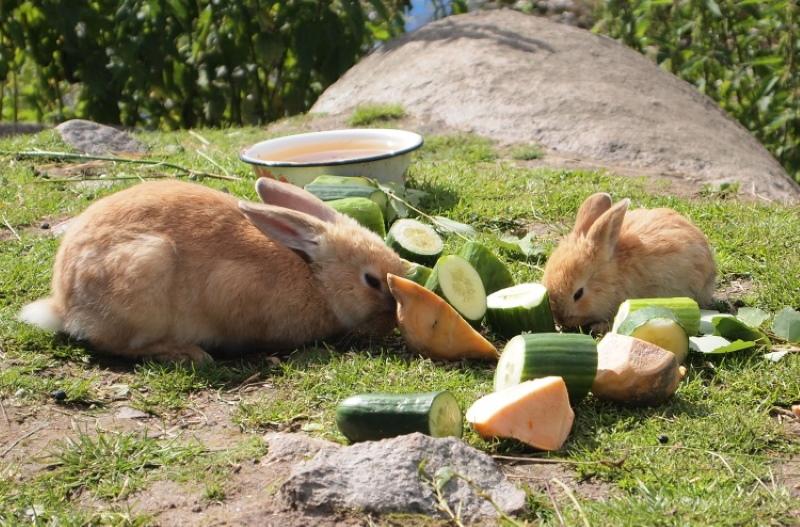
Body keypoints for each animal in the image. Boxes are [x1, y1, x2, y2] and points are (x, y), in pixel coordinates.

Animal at [20, 177, 406, 364]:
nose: (392, 320)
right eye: (371, 281)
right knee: (117, 345)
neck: (316, 277)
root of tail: (63, 305)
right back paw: (186, 354)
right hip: (144, 272)